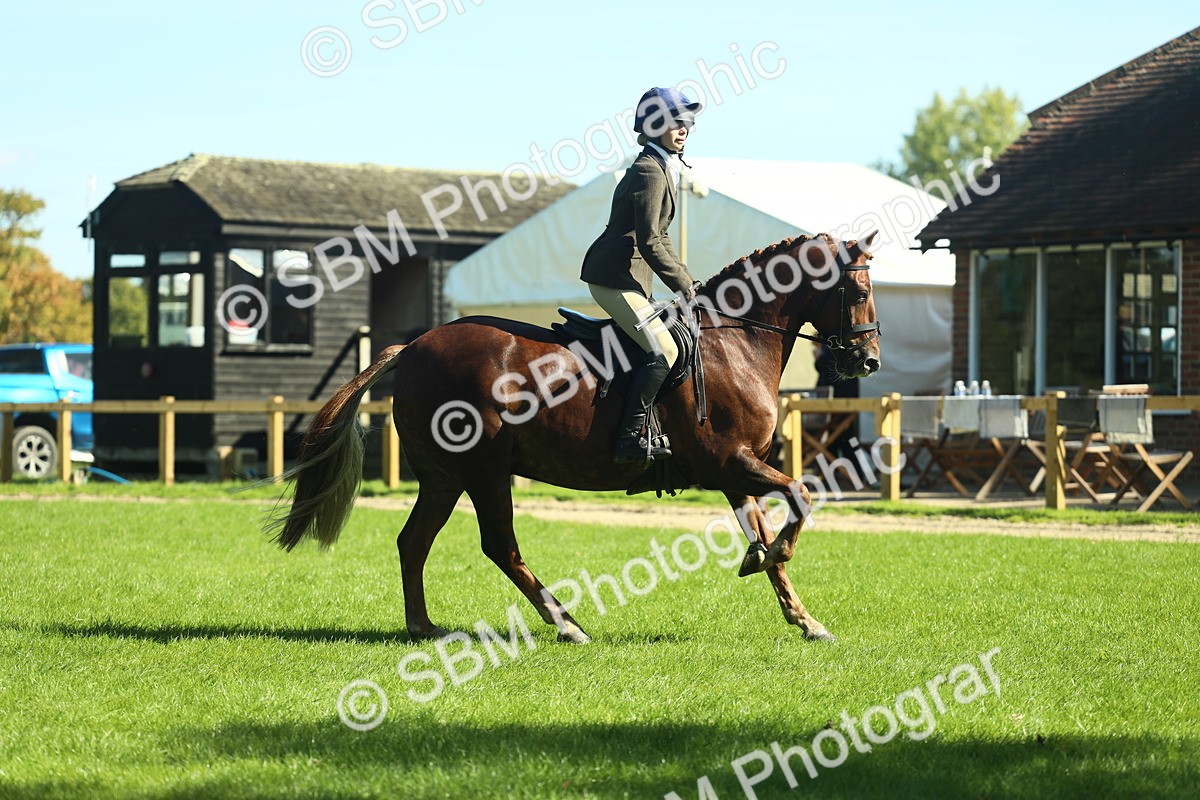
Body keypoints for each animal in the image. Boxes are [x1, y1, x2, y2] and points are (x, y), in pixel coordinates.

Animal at [268, 232, 881, 643]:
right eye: (857, 290)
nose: (868, 360)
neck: (736, 342)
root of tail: (414, 346)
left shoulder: (740, 469)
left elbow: (772, 535)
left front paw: (804, 618)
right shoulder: (727, 462)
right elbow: (802, 496)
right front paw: (771, 565)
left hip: (444, 477)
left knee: (413, 542)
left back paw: (423, 626)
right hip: (485, 470)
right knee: (500, 546)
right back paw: (565, 624)